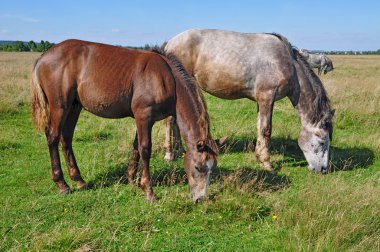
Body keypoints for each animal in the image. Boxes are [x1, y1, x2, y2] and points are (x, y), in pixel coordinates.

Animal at [30, 39, 217, 202]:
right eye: (199, 167)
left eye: (212, 168)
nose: (200, 199)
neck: (167, 79)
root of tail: (43, 57)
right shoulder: (144, 116)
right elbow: (145, 149)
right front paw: (148, 191)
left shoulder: (141, 119)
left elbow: (136, 147)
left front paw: (132, 180)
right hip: (60, 106)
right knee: (53, 137)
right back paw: (62, 184)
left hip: (74, 107)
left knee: (66, 138)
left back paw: (79, 180)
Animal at [163, 28, 336, 173]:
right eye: (322, 141)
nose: (323, 169)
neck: (287, 64)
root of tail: (170, 43)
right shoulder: (267, 97)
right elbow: (266, 129)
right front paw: (267, 162)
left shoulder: (261, 101)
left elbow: (259, 127)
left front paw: (259, 157)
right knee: (169, 121)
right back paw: (169, 154)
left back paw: (179, 150)